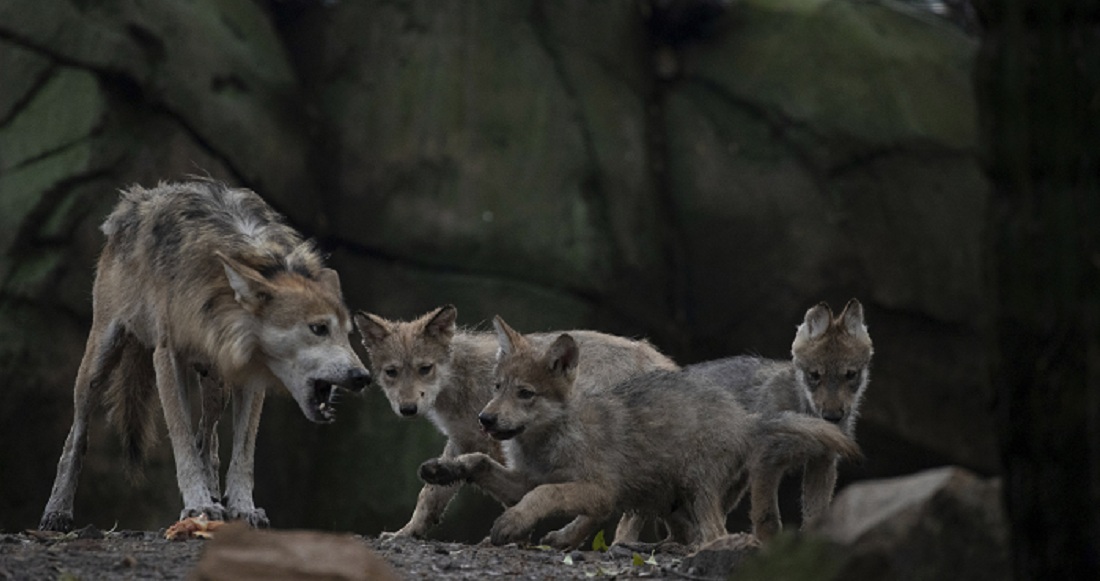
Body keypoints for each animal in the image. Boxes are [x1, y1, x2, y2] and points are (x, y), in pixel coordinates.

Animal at [38, 180, 369, 530]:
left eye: (348, 333)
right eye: (318, 328)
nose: (363, 377)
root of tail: (131, 203)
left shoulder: (249, 373)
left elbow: (242, 453)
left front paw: (242, 507)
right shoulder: (167, 357)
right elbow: (181, 439)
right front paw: (198, 505)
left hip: (216, 384)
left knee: (207, 439)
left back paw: (214, 494)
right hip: (99, 361)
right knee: (77, 434)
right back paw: (57, 512)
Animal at [354, 305, 677, 536]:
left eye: (425, 368)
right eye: (391, 372)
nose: (408, 408)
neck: (462, 383)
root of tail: (665, 363)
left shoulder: (500, 447)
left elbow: (518, 497)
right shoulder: (462, 441)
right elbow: (431, 495)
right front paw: (407, 533)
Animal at [415, 316, 853, 550]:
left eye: (525, 393)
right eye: (496, 387)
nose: (485, 419)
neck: (551, 440)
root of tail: (745, 418)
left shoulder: (598, 489)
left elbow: (547, 493)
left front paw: (509, 525)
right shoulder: (519, 482)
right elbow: (479, 462)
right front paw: (442, 469)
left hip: (696, 491)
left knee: (714, 534)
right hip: (669, 502)